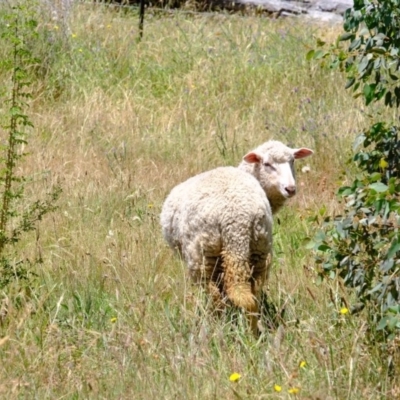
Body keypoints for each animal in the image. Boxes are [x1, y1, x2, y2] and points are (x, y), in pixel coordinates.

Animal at [159, 141, 312, 334]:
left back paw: (221, 325)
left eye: (292, 161)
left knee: (220, 295)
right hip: (259, 248)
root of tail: (236, 219)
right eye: (267, 164)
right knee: (252, 293)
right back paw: (253, 329)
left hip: (202, 254)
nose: (290, 189)